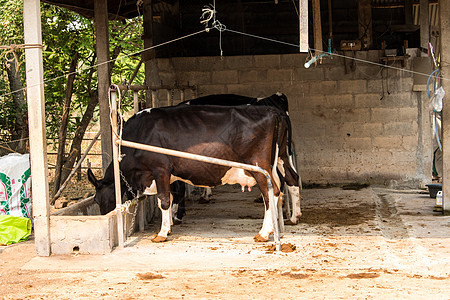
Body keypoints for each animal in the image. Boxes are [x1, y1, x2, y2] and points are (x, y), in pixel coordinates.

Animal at [87, 104, 288, 243]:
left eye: (98, 198)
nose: (104, 217)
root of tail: (271, 110)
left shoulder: (160, 169)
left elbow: (164, 201)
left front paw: (162, 233)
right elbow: (170, 198)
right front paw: (169, 227)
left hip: (259, 167)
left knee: (270, 194)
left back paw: (264, 233)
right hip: (271, 165)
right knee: (277, 192)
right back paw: (277, 227)